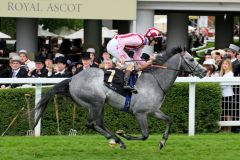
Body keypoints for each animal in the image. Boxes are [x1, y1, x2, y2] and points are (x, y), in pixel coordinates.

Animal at [33, 47, 206, 149]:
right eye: (191, 59)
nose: (204, 71)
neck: (155, 81)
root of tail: (72, 79)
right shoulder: (140, 113)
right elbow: (145, 135)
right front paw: (124, 134)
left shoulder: (153, 111)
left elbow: (169, 120)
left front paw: (162, 142)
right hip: (95, 102)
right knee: (91, 124)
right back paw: (117, 139)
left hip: (100, 104)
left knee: (98, 124)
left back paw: (116, 140)